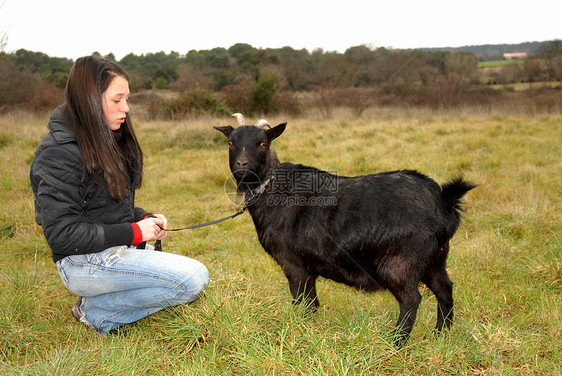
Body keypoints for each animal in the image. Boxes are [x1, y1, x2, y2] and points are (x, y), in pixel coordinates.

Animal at [214, 116, 472, 346]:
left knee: (411, 300)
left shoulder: (293, 264)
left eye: (262, 143)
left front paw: (299, 331)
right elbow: (311, 303)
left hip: (402, 263)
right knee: (444, 289)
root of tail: (442, 200)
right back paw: (441, 335)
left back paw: (395, 343)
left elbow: (301, 302)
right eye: (231, 142)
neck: (274, 190)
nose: (242, 165)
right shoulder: (309, 268)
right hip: (434, 260)